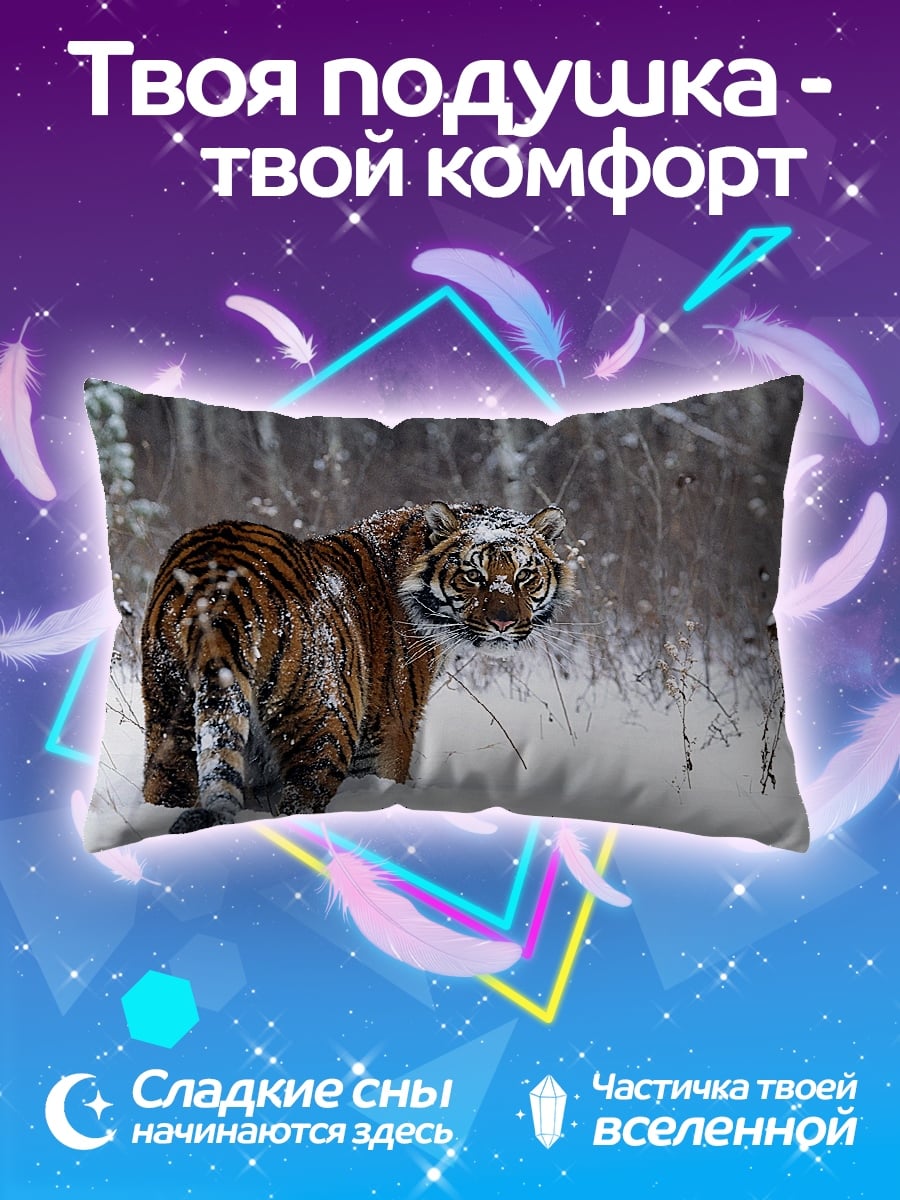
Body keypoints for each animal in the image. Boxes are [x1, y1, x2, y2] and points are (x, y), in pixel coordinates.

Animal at [141, 501, 573, 834]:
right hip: (325, 724)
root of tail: (219, 588)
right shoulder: (387, 730)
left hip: (170, 717)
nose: (503, 623)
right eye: (473, 575)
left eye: (524, 575)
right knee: (300, 800)